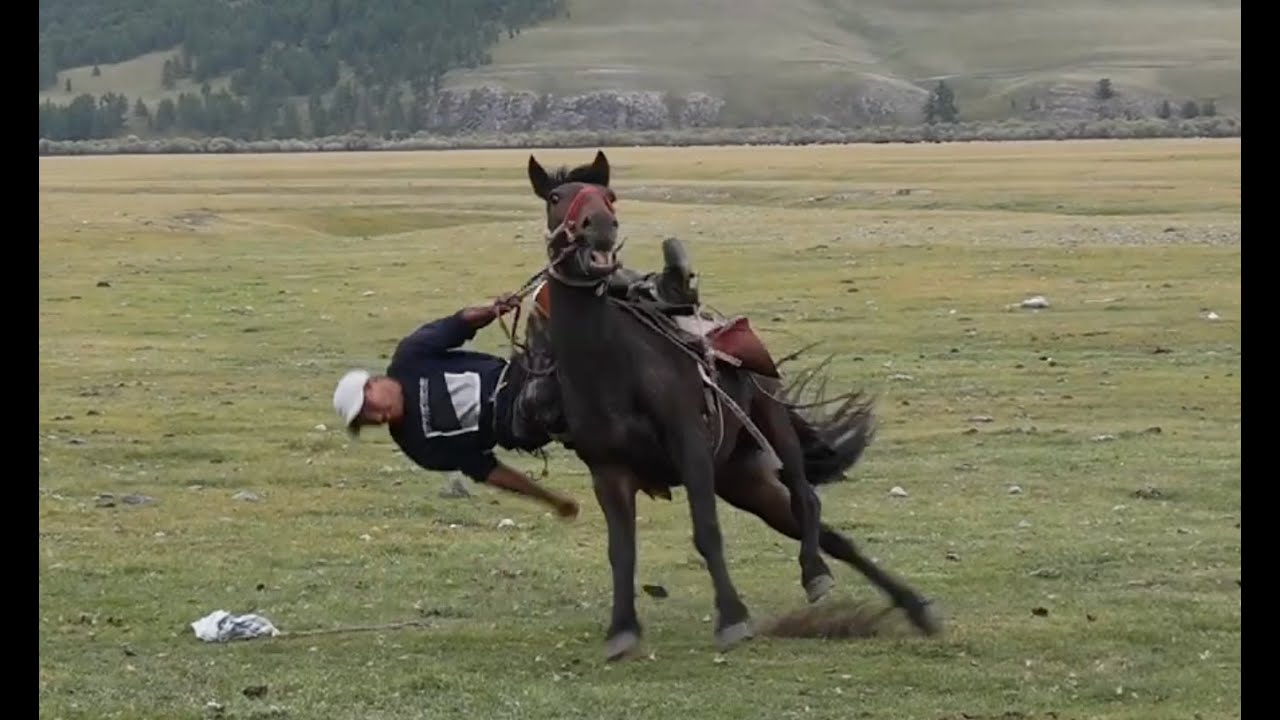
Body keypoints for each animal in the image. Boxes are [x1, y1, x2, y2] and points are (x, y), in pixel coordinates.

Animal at [503, 150, 941, 660]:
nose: (602, 227)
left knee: (807, 499)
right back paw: (914, 608)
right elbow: (621, 551)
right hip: (741, 478)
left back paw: (817, 575)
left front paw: (732, 618)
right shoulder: (608, 472)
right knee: (831, 533)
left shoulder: (690, 447)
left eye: (609, 195)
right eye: (556, 197)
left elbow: (707, 531)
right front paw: (622, 630)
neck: (610, 366)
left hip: (770, 424)